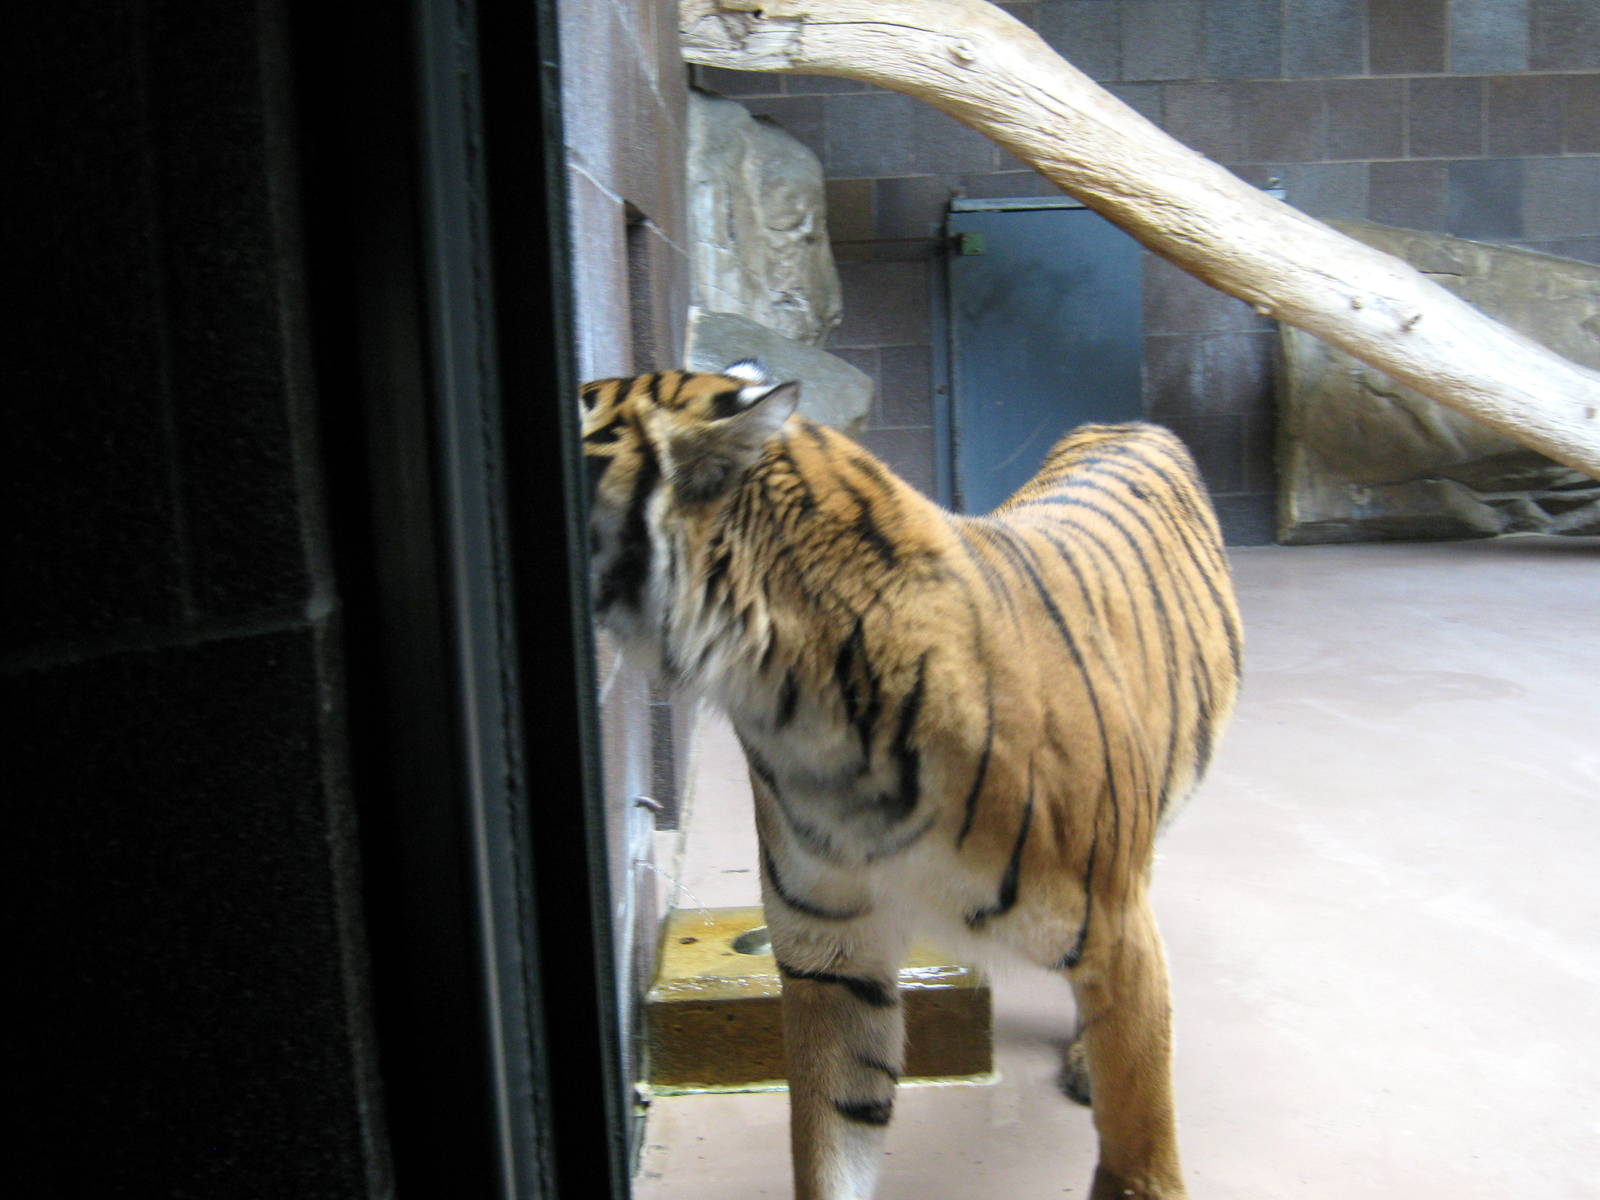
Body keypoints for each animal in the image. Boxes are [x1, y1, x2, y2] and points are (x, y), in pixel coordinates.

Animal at [581, 361, 1241, 1200]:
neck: (791, 700)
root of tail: (1129, 421)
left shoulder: (1112, 927)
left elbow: (1139, 1145)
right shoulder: (831, 956)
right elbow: (832, 1138)